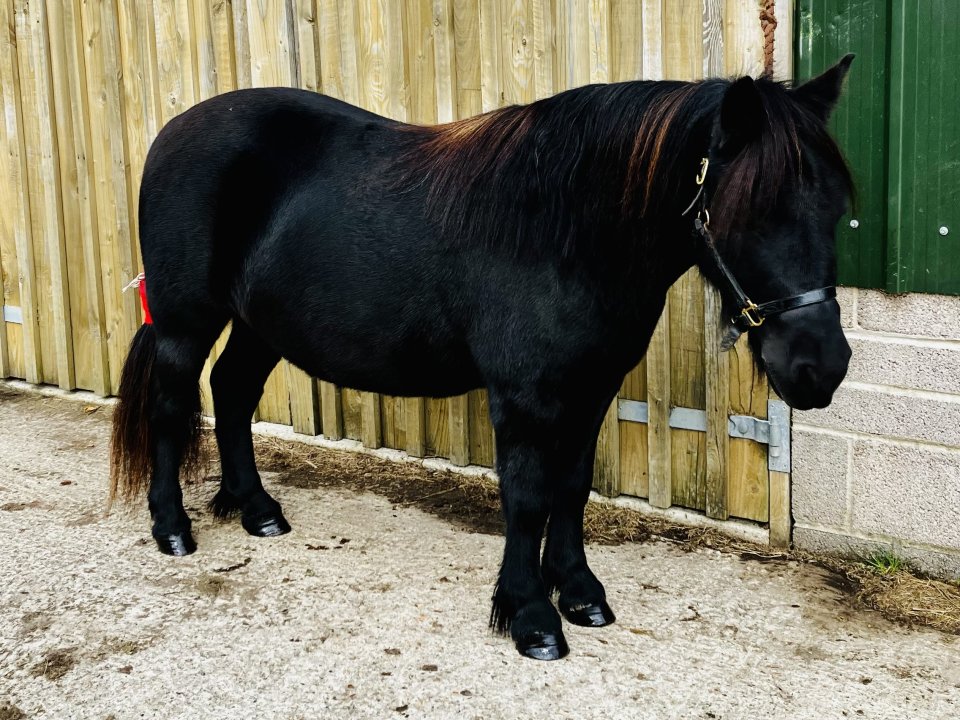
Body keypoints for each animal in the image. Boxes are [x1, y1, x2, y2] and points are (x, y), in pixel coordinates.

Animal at [110, 55, 855, 661]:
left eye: (836, 206)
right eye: (750, 206)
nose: (820, 366)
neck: (566, 229)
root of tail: (174, 131)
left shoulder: (591, 390)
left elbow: (571, 488)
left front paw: (579, 592)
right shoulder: (524, 399)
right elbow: (526, 499)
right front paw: (530, 616)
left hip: (259, 325)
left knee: (232, 392)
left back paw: (256, 509)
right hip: (184, 322)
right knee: (173, 407)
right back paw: (172, 529)